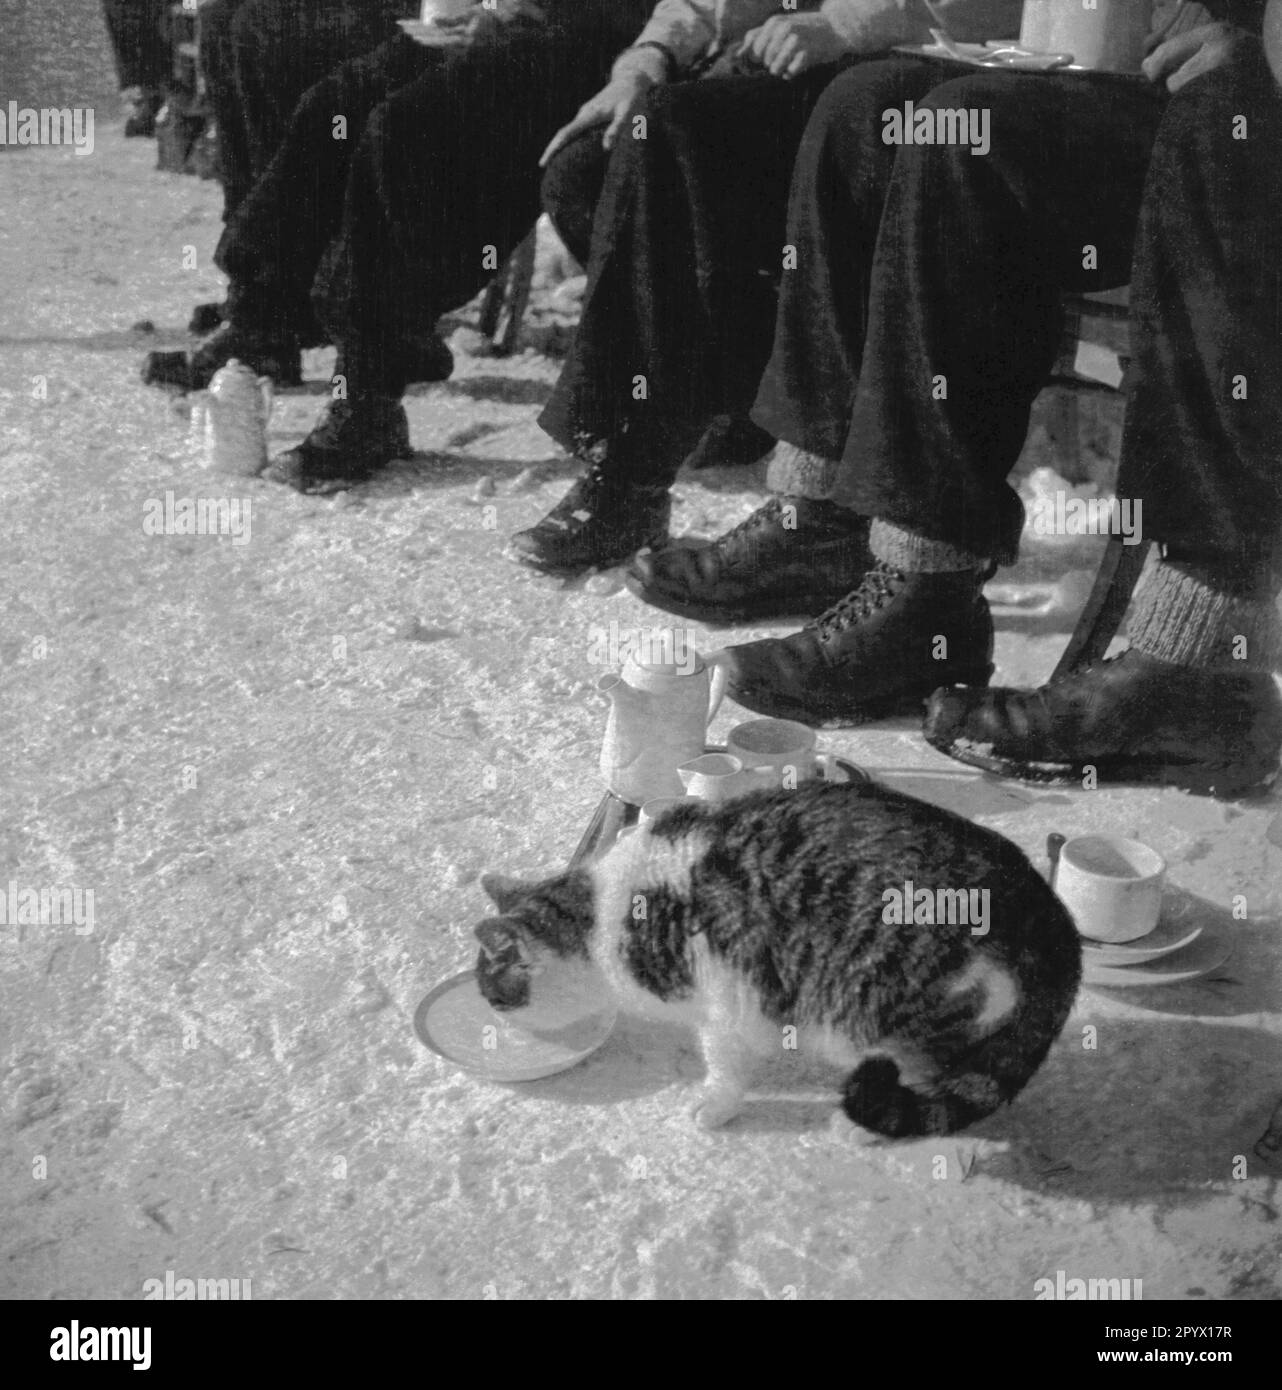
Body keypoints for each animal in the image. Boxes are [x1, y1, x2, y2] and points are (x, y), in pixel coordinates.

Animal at [475, 778, 1073, 1134]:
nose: (496, 1023)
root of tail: (1043, 909)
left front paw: (715, 1106)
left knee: (931, 1075)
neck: (601, 915)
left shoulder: (725, 997)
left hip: (881, 1012)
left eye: (495, 998)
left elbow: (725, 1065)